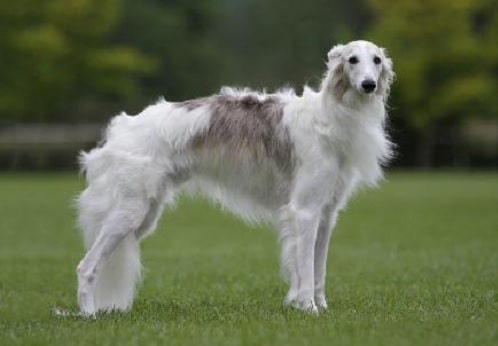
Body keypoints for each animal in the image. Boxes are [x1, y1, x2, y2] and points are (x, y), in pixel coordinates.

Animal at [76, 39, 394, 314]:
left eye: (377, 60)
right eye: (352, 59)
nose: (368, 85)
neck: (329, 117)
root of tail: (121, 128)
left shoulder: (327, 214)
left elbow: (319, 270)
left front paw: (321, 307)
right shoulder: (305, 211)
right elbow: (304, 268)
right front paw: (308, 308)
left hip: (145, 216)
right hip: (129, 212)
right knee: (86, 266)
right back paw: (88, 314)